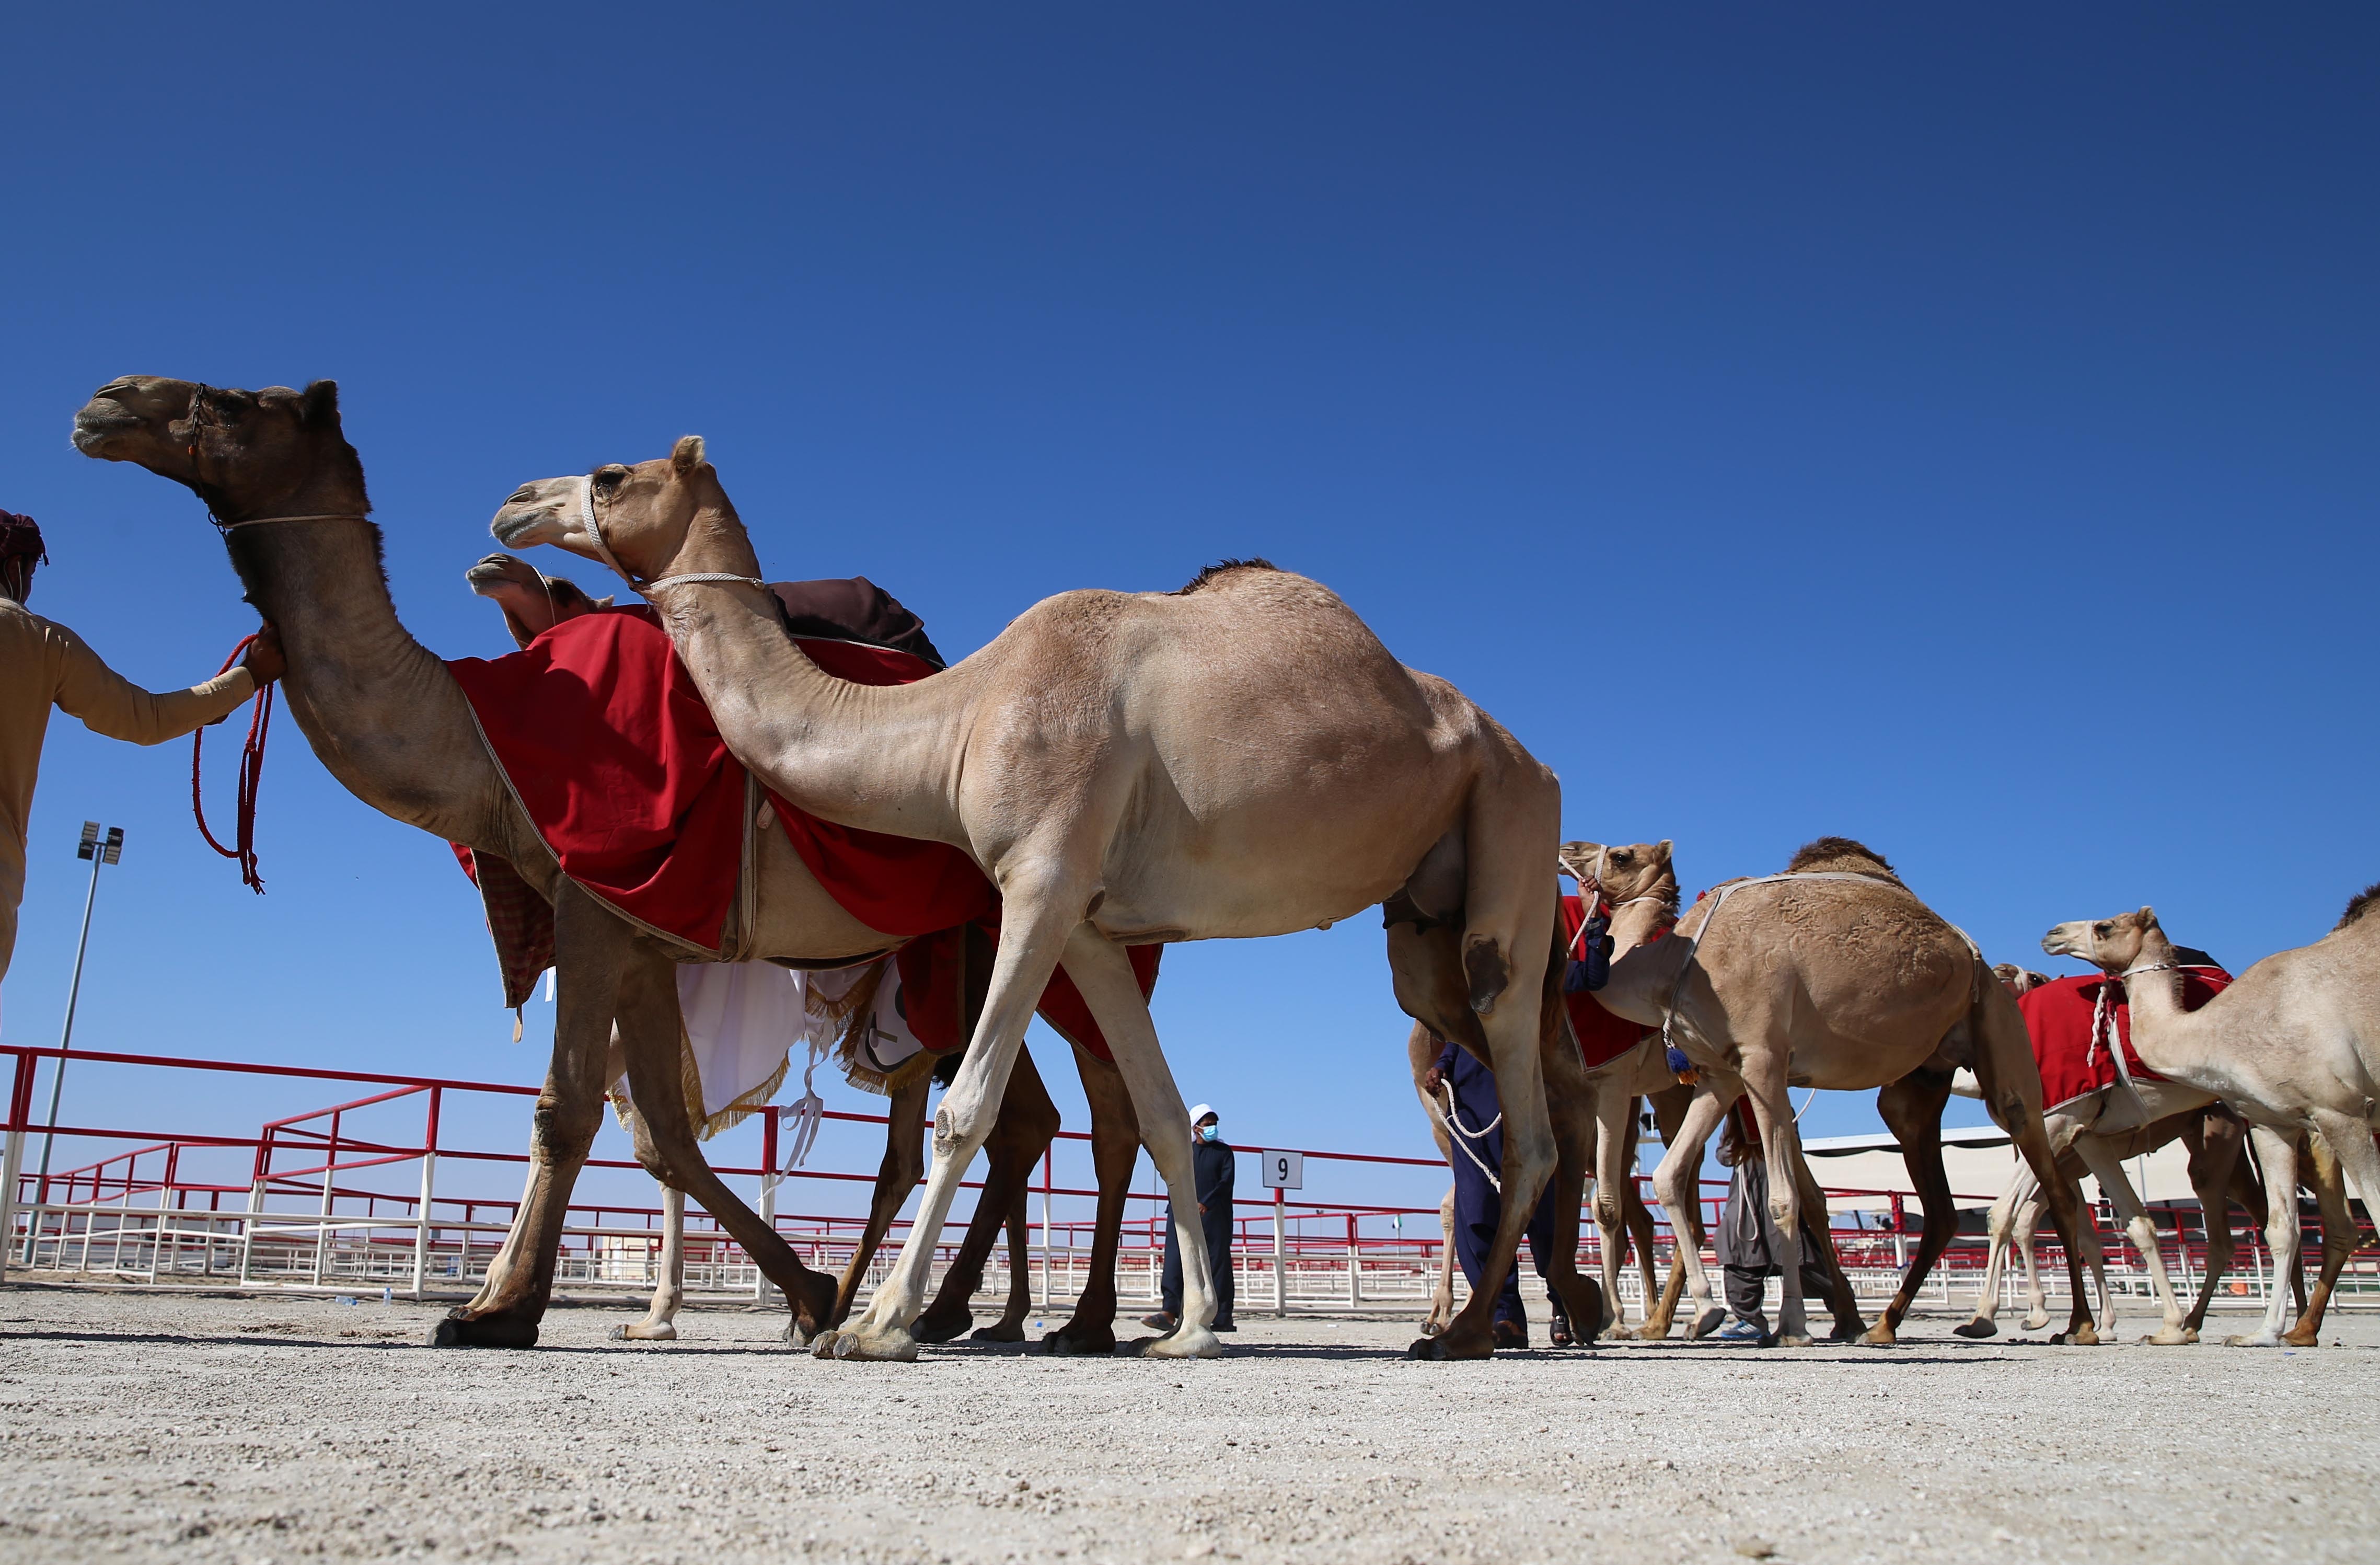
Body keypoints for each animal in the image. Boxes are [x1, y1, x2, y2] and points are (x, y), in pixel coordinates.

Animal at [72, 381, 1152, 1353]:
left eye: (230, 401)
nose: (104, 401)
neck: (482, 739)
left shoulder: (597, 902)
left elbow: (567, 1108)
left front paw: (495, 1311)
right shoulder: (642, 933)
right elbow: (662, 1130)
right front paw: (800, 1295)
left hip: (1041, 926)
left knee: (1100, 1109)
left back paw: (1071, 1319)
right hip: (960, 948)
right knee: (1025, 1117)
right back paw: (953, 1310)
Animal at [495, 438, 1570, 1353]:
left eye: (611, 473)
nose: (513, 503)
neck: (956, 721)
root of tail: (1524, 753)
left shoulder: (1042, 879)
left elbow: (963, 1108)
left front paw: (875, 1324)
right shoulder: (1088, 924)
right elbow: (1163, 1114)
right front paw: (1187, 1328)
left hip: (1511, 820)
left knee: (1520, 1087)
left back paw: (1470, 1332)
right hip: (1424, 922)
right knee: (1514, 1072)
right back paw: (1523, 1315)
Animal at [1590, 843, 2094, 1343]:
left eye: (1621, 857)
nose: (1573, 851)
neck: (1680, 960)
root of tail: (1983, 964)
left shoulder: (1761, 1059)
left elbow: (1782, 1198)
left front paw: (1792, 1324)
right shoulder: (1721, 1074)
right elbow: (1668, 1177)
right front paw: (1706, 1311)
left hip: (1997, 1025)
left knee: (2043, 1164)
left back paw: (2079, 1325)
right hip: (1920, 1081)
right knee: (1940, 1203)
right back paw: (1883, 1325)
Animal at [2047, 895, 2380, 1353]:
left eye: (2105, 927)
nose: (2053, 933)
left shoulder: (2341, 1111)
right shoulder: (2270, 1122)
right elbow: (2281, 1229)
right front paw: (2261, 1334)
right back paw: (2293, 1329)